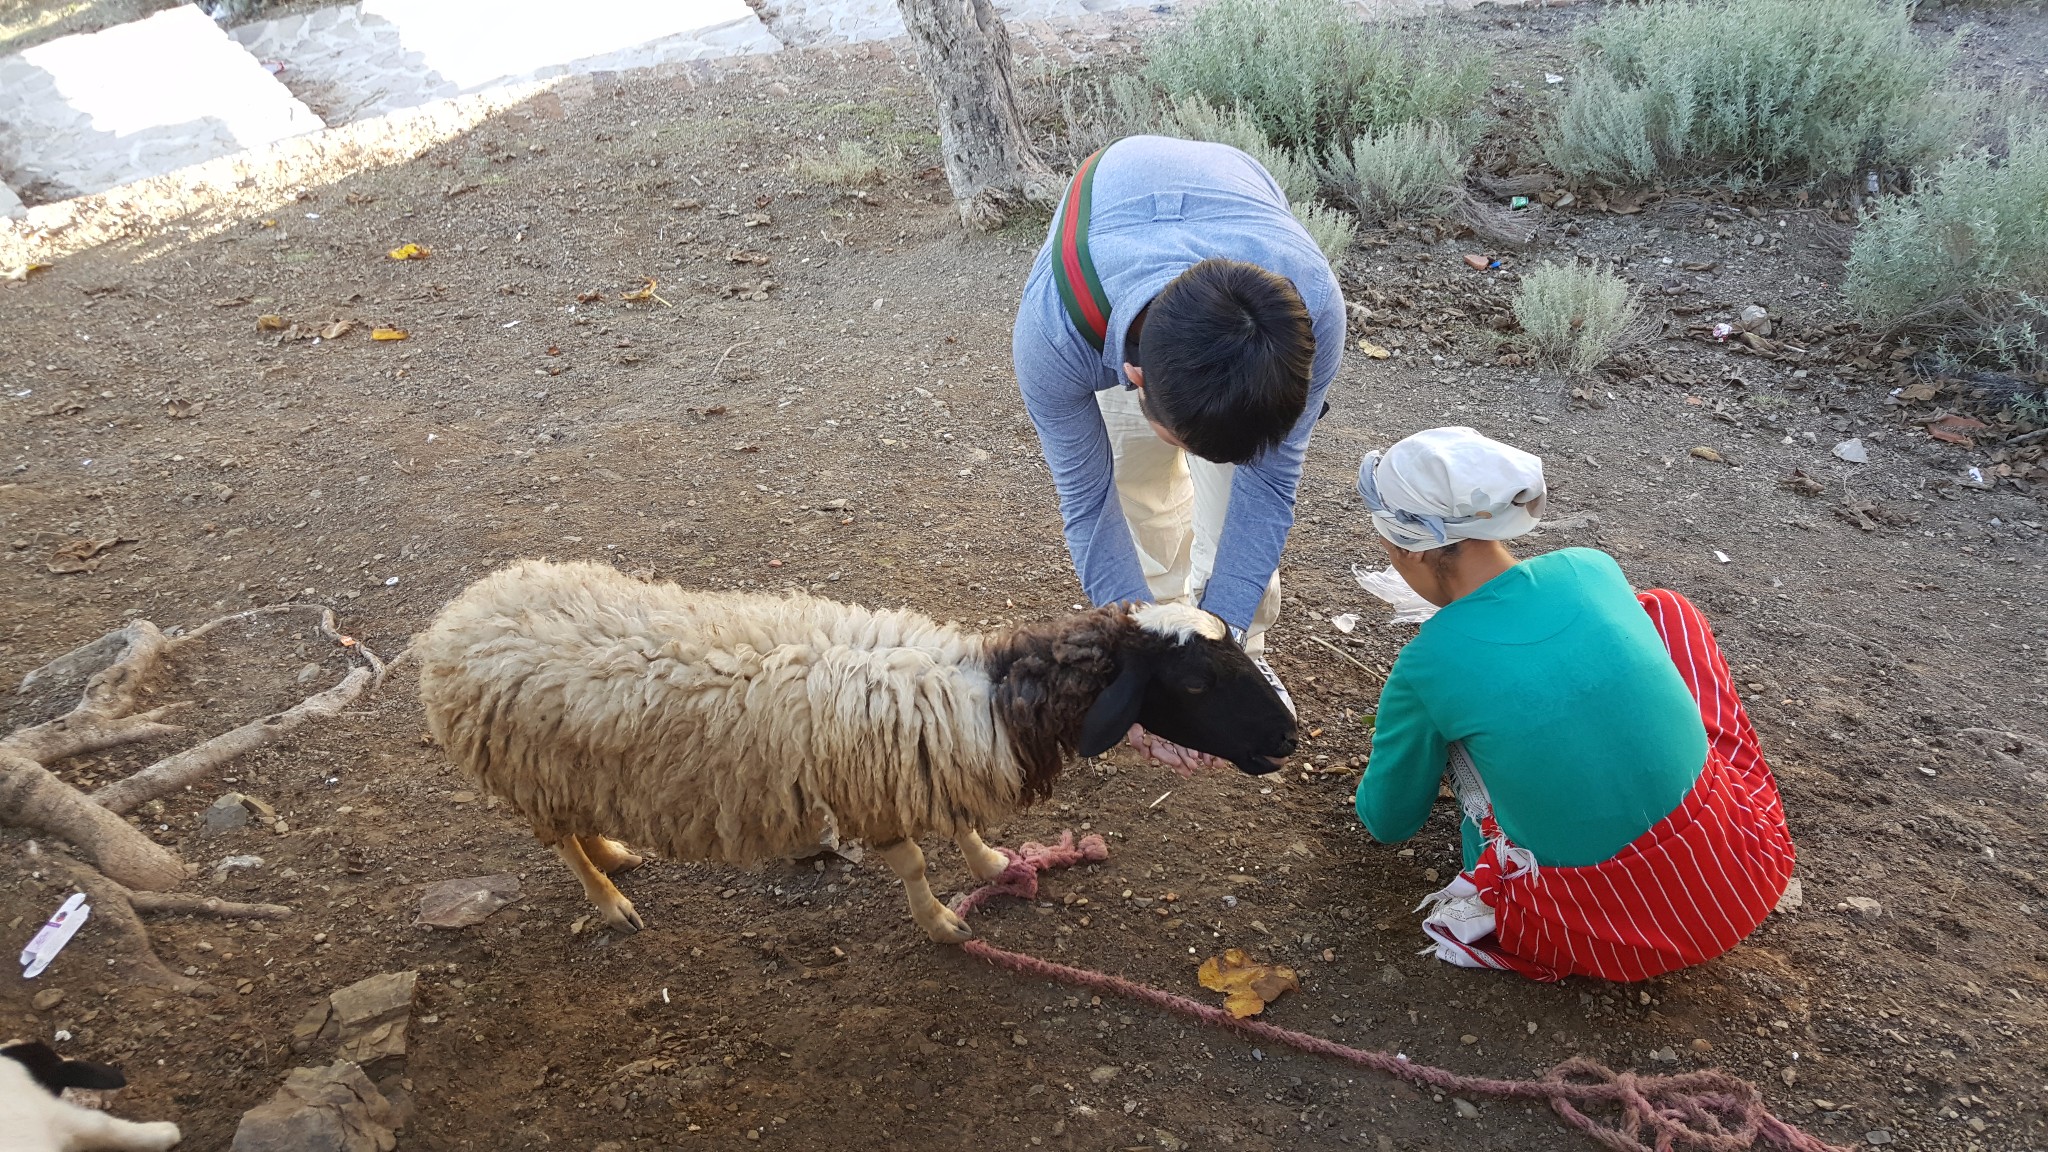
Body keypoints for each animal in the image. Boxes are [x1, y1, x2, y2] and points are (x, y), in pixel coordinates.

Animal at [411, 557, 1294, 942]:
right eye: (1193, 684)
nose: (1287, 737)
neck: (985, 698)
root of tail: (455, 620)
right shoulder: (875, 794)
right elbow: (912, 862)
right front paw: (942, 921)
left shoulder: (926, 767)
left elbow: (963, 825)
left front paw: (991, 864)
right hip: (524, 766)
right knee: (559, 844)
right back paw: (607, 898)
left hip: (560, 768)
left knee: (575, 826)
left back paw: (614, 853)